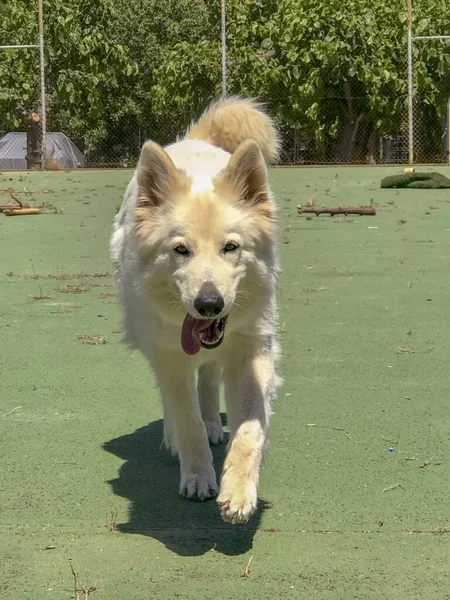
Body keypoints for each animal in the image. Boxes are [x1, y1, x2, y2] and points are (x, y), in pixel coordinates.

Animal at [110, 96, 282, 524]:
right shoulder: (169, 355)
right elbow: (185, 419)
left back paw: (212, 425)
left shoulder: (252, 352)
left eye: (231, 247)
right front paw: (199, 477)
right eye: (181, 250)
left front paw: (238, 491)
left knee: (207, 377)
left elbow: (250, 428)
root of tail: (193, 140)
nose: (209, 304)